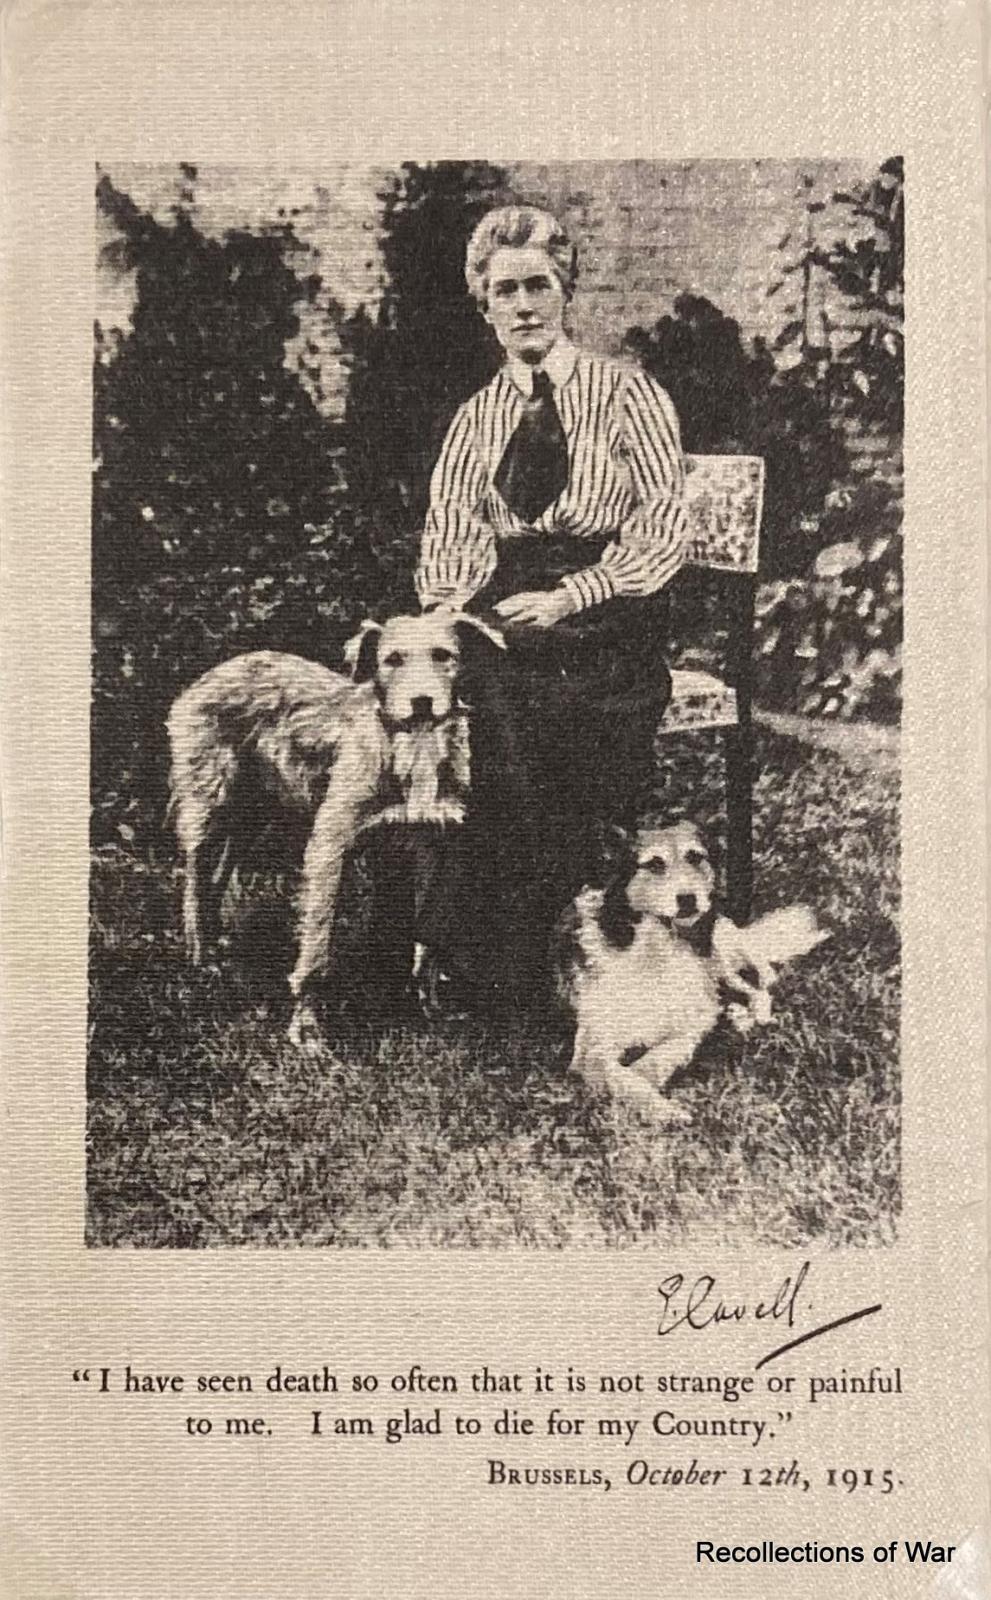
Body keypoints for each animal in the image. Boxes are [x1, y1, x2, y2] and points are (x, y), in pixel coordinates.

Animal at [168, 608, 502, 1049]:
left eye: (444, 655)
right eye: (392, 659)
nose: (422, 703)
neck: (409, 750)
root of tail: (216, 670)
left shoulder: (436, 848)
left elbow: (429, 939)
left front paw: (429, 1005)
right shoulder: (330, 846)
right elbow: (317, 945)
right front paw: (307, 1027)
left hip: (253, 815)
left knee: (218, 878)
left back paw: (218, 943)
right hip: (211, 805)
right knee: (195, 878)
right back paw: (200, 956)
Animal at [557, 825, 832, 1126]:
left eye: (695, 857)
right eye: (654, 864)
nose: (689, 898)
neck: (657, 947)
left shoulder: (697, 1018)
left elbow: (669, 1049)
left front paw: (648, 1075)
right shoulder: (591, 1046)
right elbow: (617, 1073)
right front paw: (661, 1107)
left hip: (721, 959)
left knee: (761, 987)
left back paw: (752, 1018)